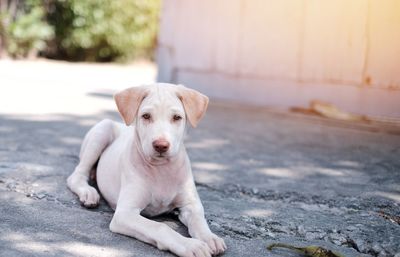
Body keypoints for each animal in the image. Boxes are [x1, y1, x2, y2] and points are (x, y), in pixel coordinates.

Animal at [67, 83, 227, 256]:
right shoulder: (125, 214)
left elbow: (199, 220)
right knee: (77, 175)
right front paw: (191, 245)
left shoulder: (191, 204)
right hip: (102, 131)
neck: (161, 169)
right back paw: (88, 193)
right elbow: (160, 227)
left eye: (177, 117)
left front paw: (209, 237)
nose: (161, 145)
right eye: (146, 116)